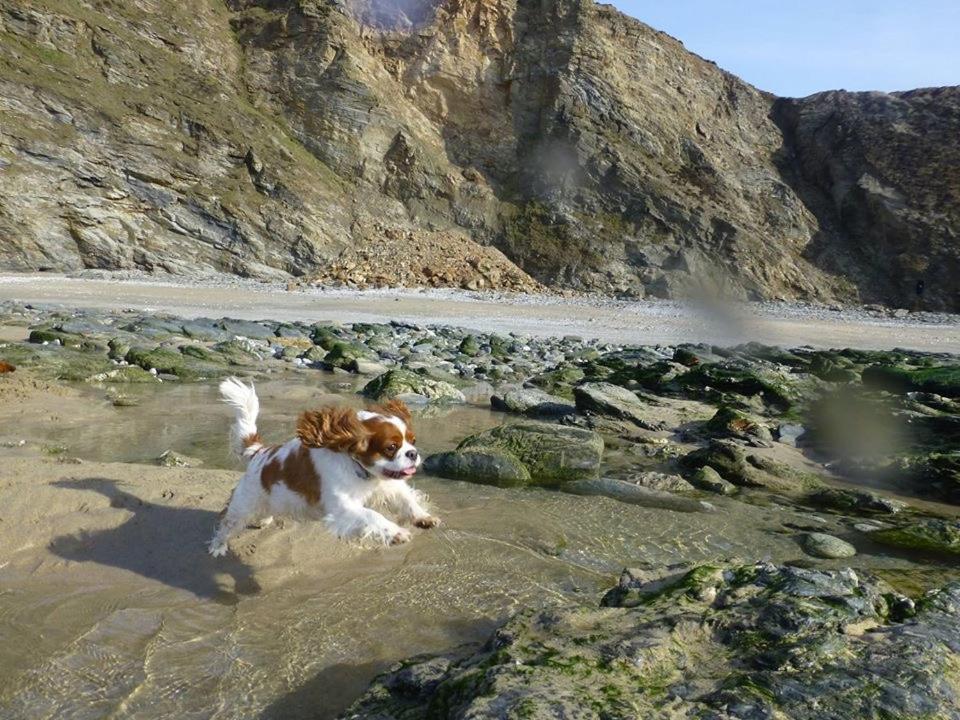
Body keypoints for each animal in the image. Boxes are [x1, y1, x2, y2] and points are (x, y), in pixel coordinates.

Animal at [208, 376, 440, 556]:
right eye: (391, 447)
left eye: (413, 441)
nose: (413, 453)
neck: (361, 470)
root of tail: (259, 451)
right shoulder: (344, 508)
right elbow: (372, 515)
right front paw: (396, 532)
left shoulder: (389, 485)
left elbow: (407, 500)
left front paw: (423, 518)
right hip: (243, 504)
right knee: (227, 524)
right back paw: (218, 546)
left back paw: (264, 520)